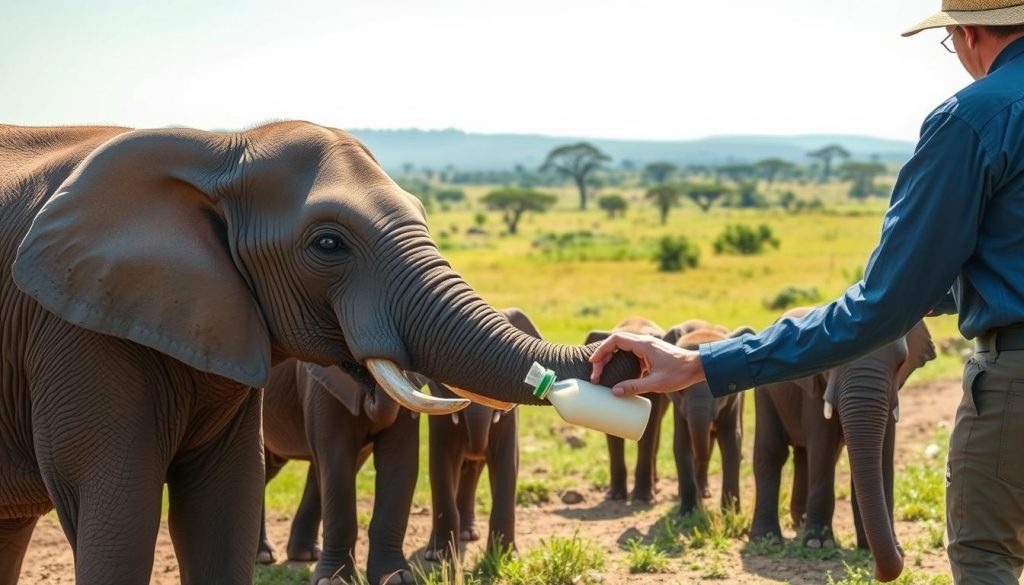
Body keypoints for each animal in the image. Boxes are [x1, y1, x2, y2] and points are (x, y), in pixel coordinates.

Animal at [258, 358, 420, 585]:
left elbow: (400, 459)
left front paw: (396, 578)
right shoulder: (319, 386)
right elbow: (336, 458)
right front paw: (333, 581)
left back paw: (305, 555)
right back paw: (264, 556)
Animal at [423, 308, 538, 561]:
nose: (476, 446)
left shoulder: (510, 418)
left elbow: (506, 463)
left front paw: (506, 558)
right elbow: (442, 462)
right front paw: (438, 557)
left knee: (473, 470)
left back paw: (468, 534)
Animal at [662, 323, 755, 516]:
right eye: (680, 389)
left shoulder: (733, 402)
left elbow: (731, 442)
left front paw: (731, 514)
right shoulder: (679, 408)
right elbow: (682, 443)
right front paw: (687, 514)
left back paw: (704, 492)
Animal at [750, 309, 935, 580]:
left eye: (901, 362)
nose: (879, 570)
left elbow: (882, 458)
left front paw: (883, 547)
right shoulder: (815, 388)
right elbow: (823, 449)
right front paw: (817, 544)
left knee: (802, 456)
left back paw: (800, 521)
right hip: (764, 394)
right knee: (772, 453)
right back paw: (768, 540)